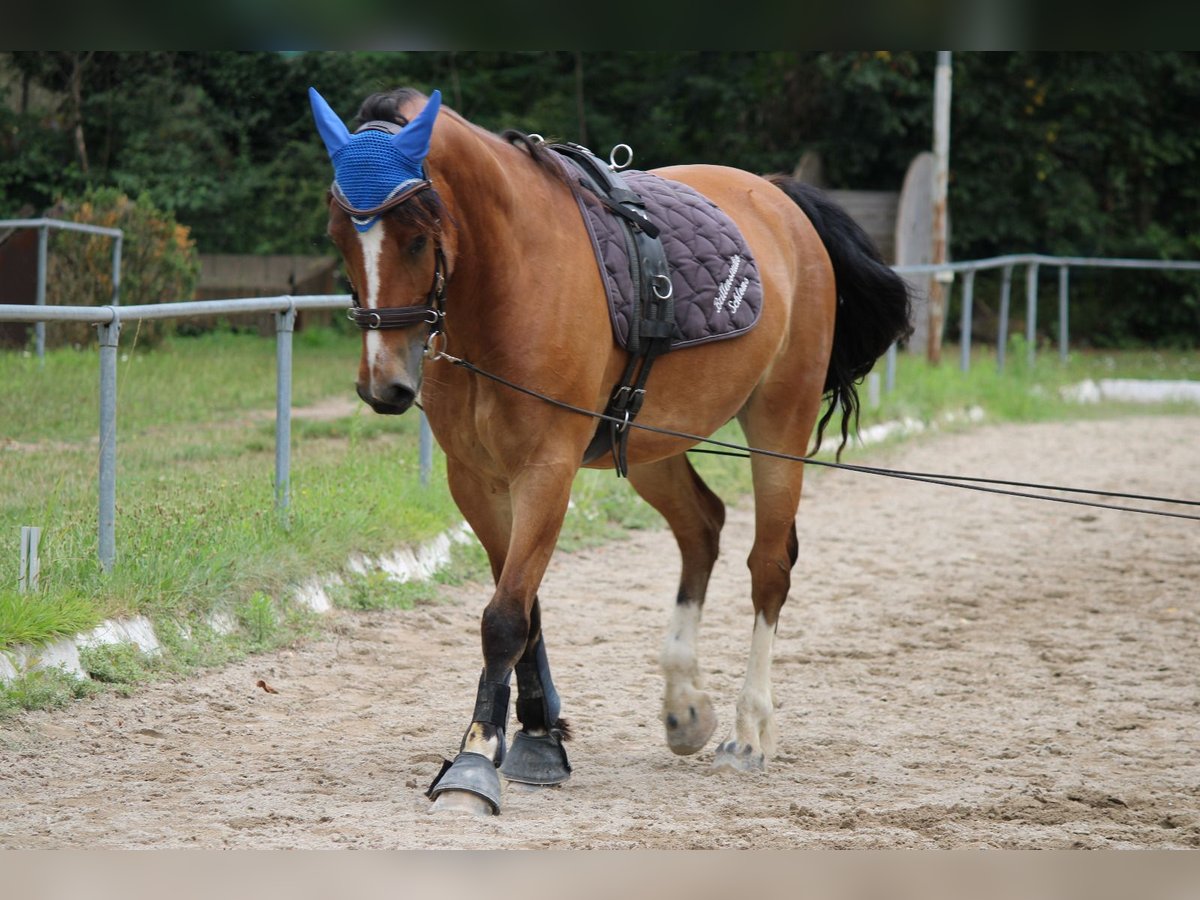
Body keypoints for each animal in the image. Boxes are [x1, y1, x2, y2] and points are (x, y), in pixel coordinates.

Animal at [309, 86, 907, 816]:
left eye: (418, 237)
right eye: (339, 236)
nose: (384, 386)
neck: (509, 283)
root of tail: (776, 197)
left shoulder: (546, 470)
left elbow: (504, 616)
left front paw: (474, 762)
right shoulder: (476, 479)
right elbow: (525, 607)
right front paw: (539, 738)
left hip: (779, 424)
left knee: (769, 566)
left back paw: (749, 730)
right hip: (654, 442)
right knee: (702, 528)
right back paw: (686, 707)